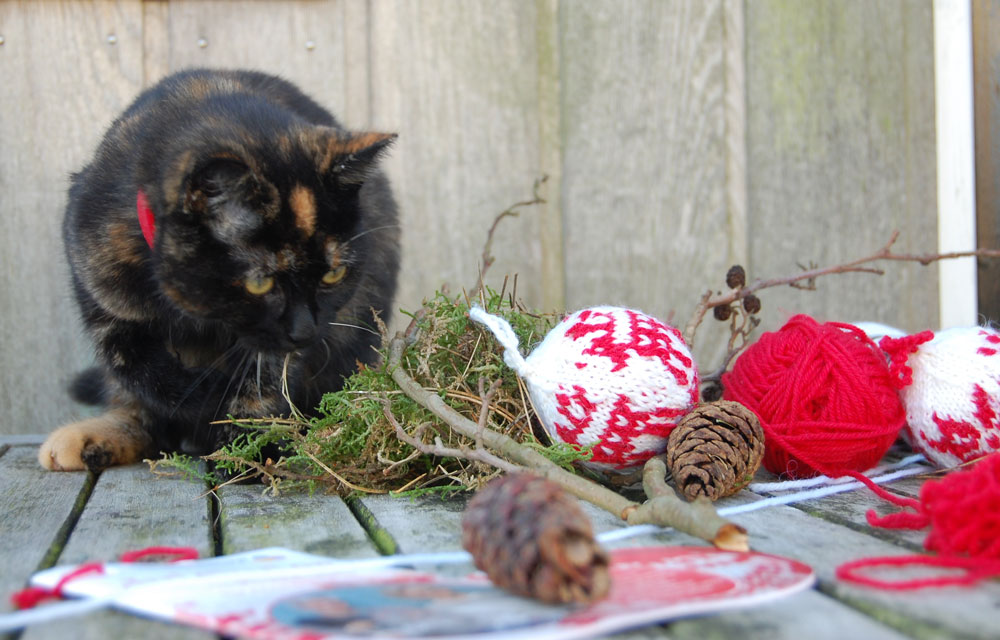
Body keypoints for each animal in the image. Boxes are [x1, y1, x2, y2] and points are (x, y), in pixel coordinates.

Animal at [40, 69, 398, 470]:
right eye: (259, 283)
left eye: (332, 275)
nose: (305, 332)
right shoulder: (103, 300)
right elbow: (137, 369)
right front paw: (205, 397)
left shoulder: (272, 345)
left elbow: (264, 382)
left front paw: (251, 449)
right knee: (136, 411)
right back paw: (92, 439)